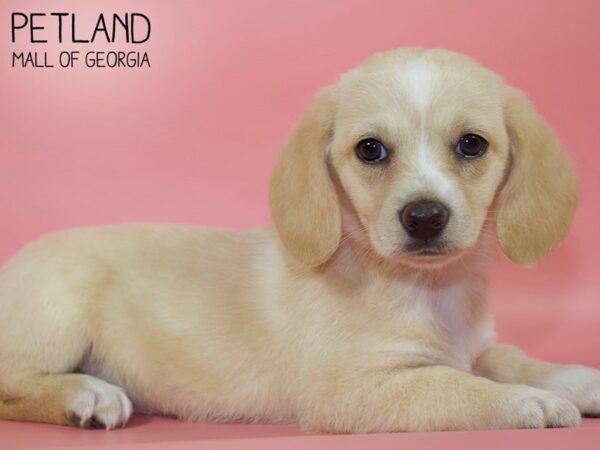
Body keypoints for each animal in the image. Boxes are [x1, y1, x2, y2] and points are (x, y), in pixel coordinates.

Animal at [1, 48, 600, 432]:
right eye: (370, 150)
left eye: (472, 144)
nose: (425, 217)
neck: (429, 290)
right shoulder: (355, 389)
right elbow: (456, 387)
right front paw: (531, 403)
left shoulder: (475, 348)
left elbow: (513, 357)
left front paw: (574, 379)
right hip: (59, 311)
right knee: (12, 384)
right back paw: (87, 394)